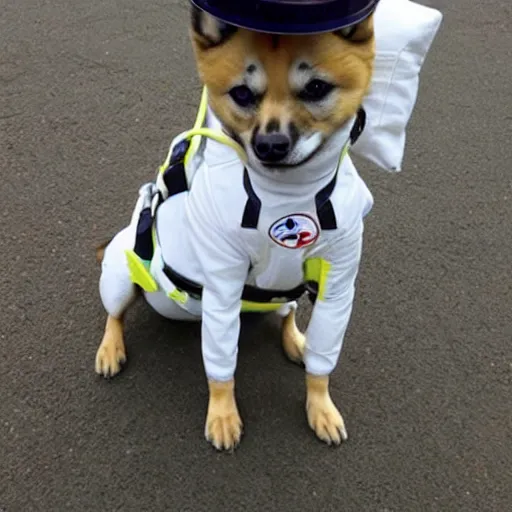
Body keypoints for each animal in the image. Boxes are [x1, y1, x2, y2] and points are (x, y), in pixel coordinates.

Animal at [95, 6, 376, 450]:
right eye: (242, 94)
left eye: (316, 87)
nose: (270, 145)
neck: (289, 193)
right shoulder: (223, 287)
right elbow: (221, 367)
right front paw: (223, 413)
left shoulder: (337, 284)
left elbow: (323, 360)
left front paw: (320, 404)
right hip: (122, 276)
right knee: (115, 314)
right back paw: (110, 348)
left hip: (284, 297)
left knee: (288, 312)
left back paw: (296, 340)